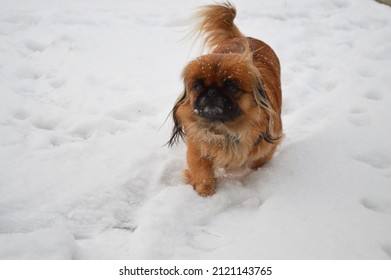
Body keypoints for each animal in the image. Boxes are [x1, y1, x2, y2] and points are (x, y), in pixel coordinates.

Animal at [167, 1, 284, 197]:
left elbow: (257, 161)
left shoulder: (268, 146)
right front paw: (205, 193)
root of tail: (242, 37)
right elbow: (202, 173)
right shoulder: (197, 147)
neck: (224, 129)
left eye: (231, 86)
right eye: (198, 85)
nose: (212, 92)